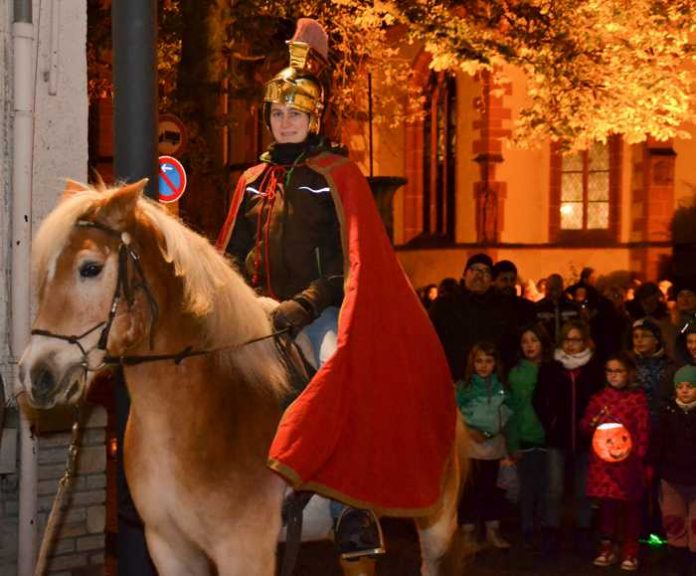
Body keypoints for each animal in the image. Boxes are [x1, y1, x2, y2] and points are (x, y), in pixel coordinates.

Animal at [20, 181, 468, 576]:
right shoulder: (169, 547)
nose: (36, 374)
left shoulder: (244, 550)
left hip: (437, 518)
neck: (199, 415)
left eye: (90, 268)